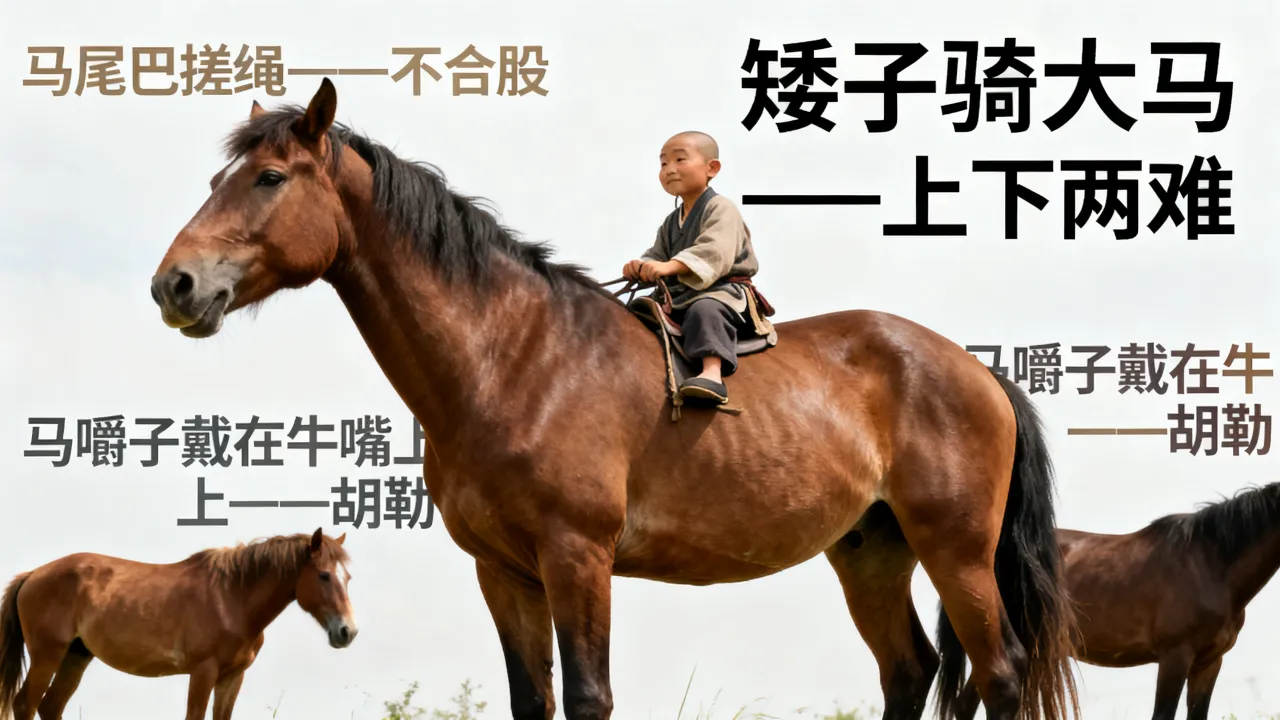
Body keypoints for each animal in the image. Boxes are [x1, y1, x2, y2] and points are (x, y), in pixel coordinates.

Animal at [0, 528, 355, 720]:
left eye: (347, 577)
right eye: (324, 575)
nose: (347, 632)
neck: (232, 598)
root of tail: (32, 575)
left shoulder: (232, 677)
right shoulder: (203, 673)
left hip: (76, 656)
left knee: (49, 706)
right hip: (48, 655)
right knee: (25, 703)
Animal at [146, 77, 1081, 720]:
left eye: (270, 178)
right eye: (220, 179)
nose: (174, 284)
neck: (512, 358)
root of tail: (978, 371)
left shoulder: (578, 555)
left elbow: (590, 694)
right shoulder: (503, 571)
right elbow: (535, 699)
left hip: (957, 549)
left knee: (998, 673)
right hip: (870, 550)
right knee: (910, 670)